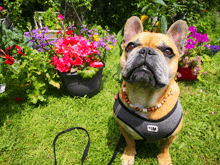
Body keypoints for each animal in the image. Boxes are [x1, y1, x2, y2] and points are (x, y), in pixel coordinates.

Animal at [113, 15, 187, 165]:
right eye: (130, 46)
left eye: (168, 51)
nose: (147, 50)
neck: (145, 97)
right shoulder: (124, 128)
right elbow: (130, 142)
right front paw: (129, 155)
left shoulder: (173, 134)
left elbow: (165, 147)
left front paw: (164, 159)